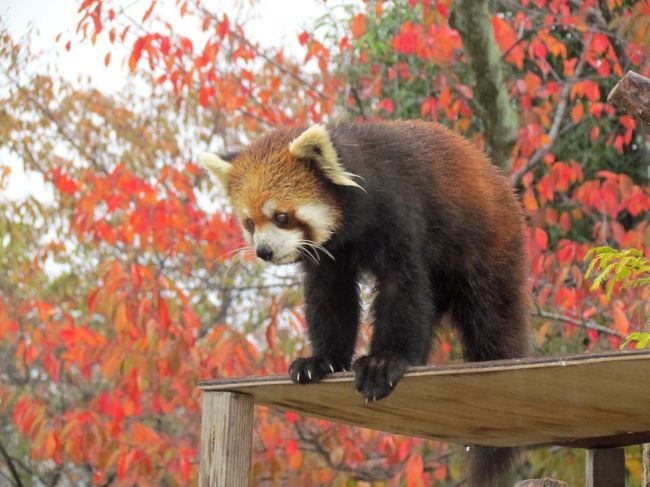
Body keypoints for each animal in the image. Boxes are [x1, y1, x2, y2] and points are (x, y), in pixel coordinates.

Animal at [197, 119, 528, 487]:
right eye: (250, 223)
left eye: (281, 216)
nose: (263, 251)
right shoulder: (330, 256)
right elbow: (330, 299)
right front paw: (322, 360)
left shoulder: (398, 209)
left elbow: (402, 286)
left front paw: (382, 362)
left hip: (487, 246)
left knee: (490, 315)